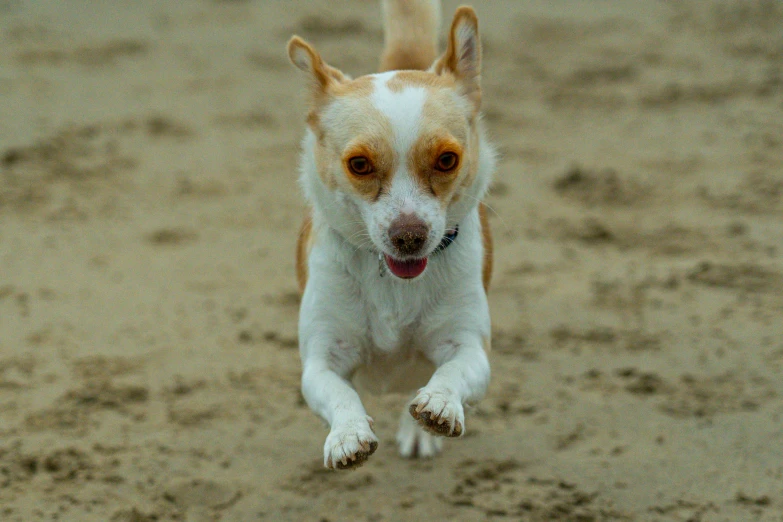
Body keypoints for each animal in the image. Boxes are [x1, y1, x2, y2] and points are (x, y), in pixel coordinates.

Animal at [288, 1, 496, 468]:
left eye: (447, 159)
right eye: (359, 165)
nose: (409, 236)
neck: (393, 282)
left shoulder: (470, 347)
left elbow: (453, 371)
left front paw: (439, 404)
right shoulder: (322, 359)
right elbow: (340, 392)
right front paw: (348, 435)